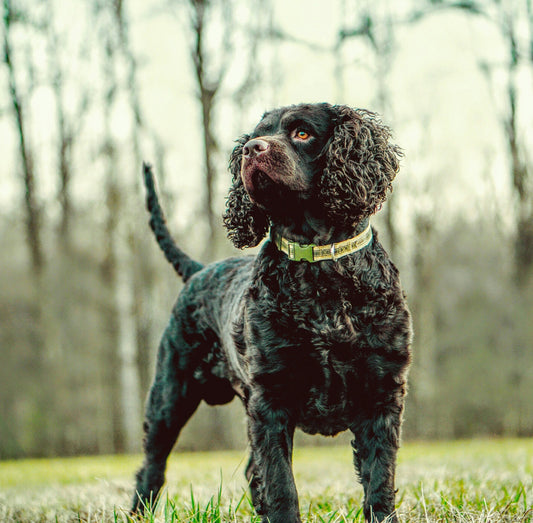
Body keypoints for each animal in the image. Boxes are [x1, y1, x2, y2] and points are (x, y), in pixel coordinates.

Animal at [132, 103, 412, 523]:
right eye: (254, 135)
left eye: (302, 133)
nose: (252, 149)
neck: (320, 272)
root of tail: (198, 270)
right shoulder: (271, 400)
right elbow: (281, 484)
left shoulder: (382, 395)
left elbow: (379, 483)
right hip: (169, 395)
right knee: (152, 467)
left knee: (251, 470)